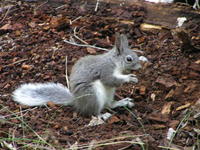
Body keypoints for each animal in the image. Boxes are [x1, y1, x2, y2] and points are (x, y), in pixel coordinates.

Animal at [12, 33, 141, 116]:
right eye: (129, 59)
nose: (139, 67)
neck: (114, 62)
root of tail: (77, 101)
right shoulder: (105, 70)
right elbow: (110, 80)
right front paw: (129, 78)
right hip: (92, 95)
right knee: (93, 112)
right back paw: (102, 116)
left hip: (108, 94)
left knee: (109, 105)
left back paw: (122, 102)